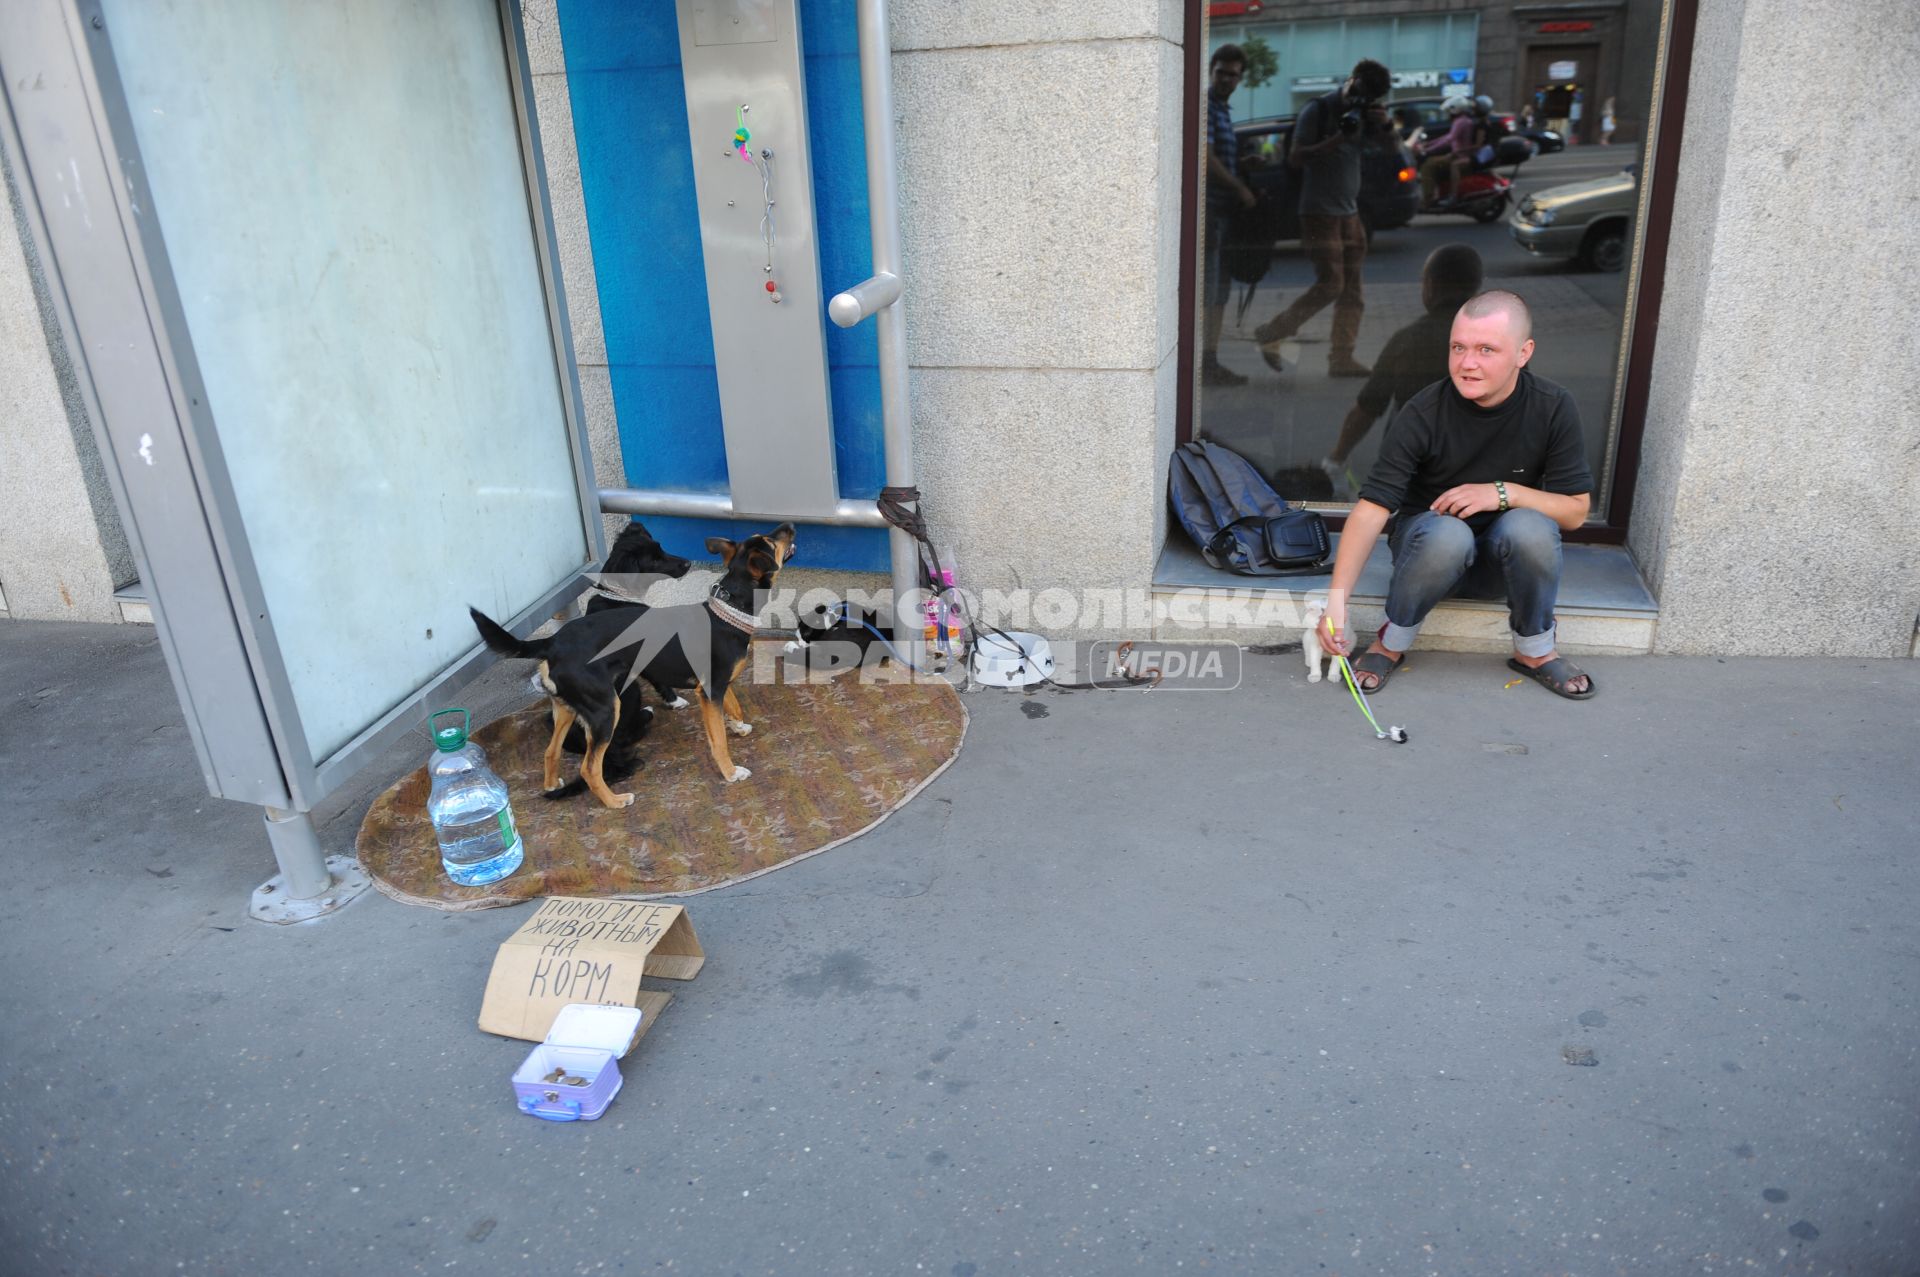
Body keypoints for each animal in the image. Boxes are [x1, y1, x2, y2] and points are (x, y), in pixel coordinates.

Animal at [476, 522, 798, 806]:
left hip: (567, 709)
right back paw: (615, 801)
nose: (789, 525)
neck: (728, 612)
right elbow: (718, 740)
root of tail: (552, 643)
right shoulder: (710, 691)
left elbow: (733, 706)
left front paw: (738, 726)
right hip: (605, 710)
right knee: (589, 768)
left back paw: (552, 784)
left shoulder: (716, 688)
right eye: (770, 543)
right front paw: (730, 772)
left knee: (550, 751)